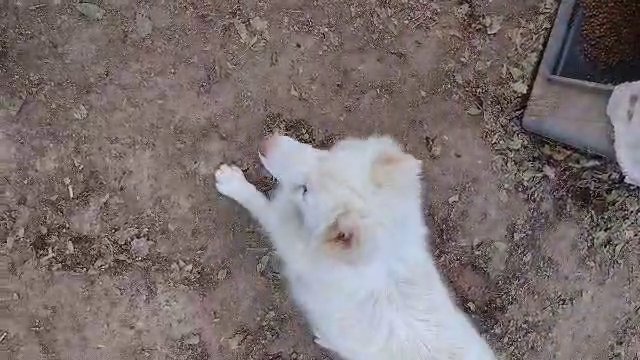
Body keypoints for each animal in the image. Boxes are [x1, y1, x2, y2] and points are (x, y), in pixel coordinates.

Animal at [215, 134, 496, 358]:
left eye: (305, 191)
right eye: (326, 152)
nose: (266, 142)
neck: (383, 261)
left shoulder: (286, 236)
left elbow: (260, 205)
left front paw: (231, 183)